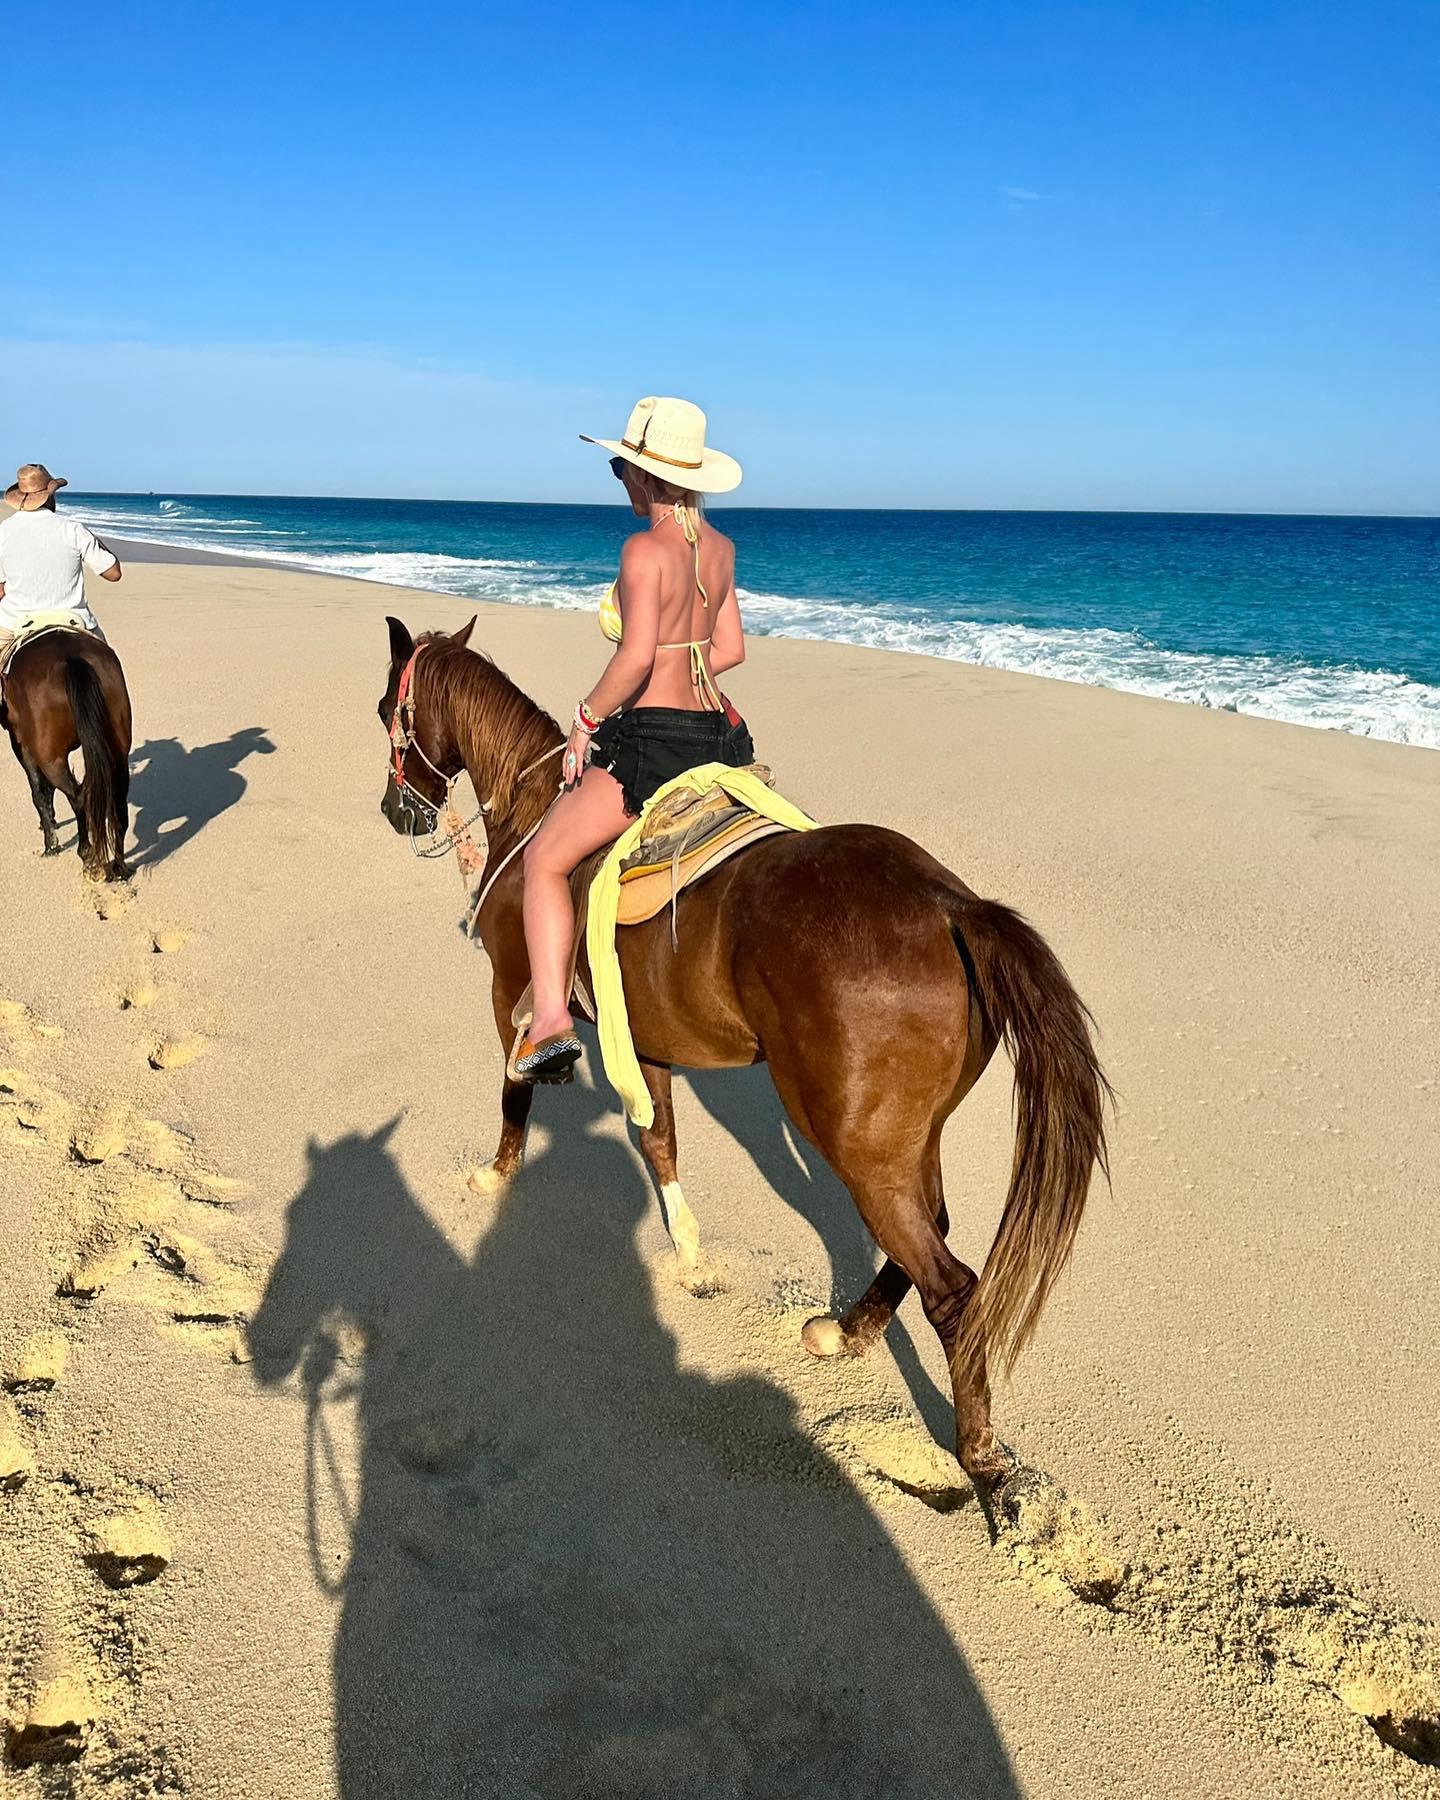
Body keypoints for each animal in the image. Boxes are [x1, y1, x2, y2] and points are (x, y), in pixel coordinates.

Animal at [1, 630, 133, 882]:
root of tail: (72, 658)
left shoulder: (22, 743)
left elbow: (38, 792)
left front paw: (50, 843)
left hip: (50, 758)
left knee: (77, 797)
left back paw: (86, 854)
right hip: (118, 751)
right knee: (116, 802)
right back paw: (118, 868)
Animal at [376, 619, 1108, 1504]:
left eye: (384, 707)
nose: (395, 811)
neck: (532, 810)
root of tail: (950, 904)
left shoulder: (512, 991)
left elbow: (519, 1085)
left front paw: (498, 1170)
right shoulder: (643, 1039)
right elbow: (659, 1141)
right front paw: (691, 1258)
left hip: (854, 1139)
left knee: (952, 1286)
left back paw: (978, 1458)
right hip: (902, 1136)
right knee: (926, 1234)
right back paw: (846, 1333)